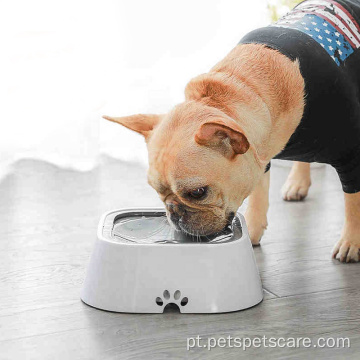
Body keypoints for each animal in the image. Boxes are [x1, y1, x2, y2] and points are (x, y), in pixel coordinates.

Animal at [104, 0, 360, 264]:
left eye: (198, 193)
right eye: (157, 192)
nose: (174, 212)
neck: (244, 87)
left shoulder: (352, 157)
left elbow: (353, 203)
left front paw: (351, 241)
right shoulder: (260, 158)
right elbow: (258, 195)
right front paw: (253, 232)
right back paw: (297, 182)